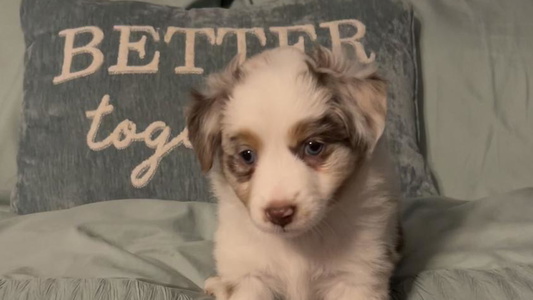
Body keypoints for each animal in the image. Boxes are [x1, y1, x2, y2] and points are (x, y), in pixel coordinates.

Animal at [187, 47, 400, 300]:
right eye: (247, 155)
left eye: (313, 146)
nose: (279, 213)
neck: (298, 243)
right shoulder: (251, 276)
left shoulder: (358, 276)